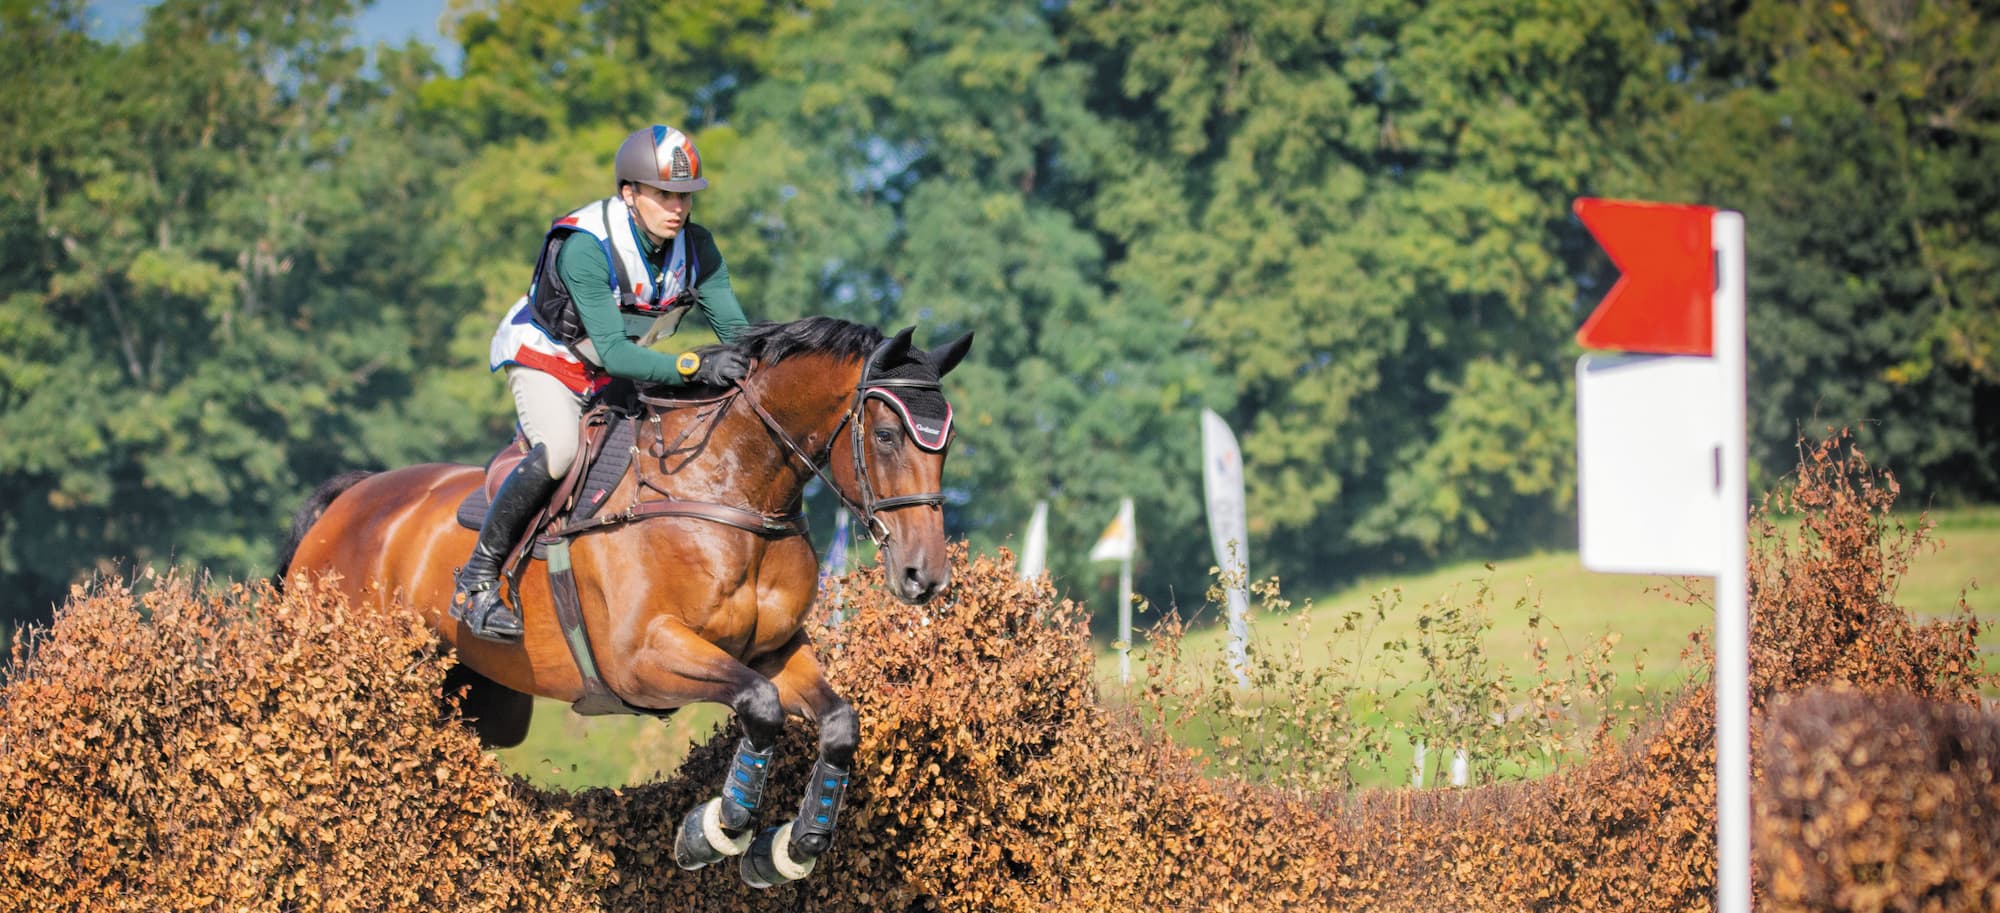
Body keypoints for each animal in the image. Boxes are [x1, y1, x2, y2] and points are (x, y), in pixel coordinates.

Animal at [276, 318, 976, 888]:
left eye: (946, 443)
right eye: (885, 435)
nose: (924, 576)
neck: (728, 489)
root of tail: (349, 497)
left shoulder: (775, 653)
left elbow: (837, 724)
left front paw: (790, 847)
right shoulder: (643, 659)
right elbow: (760, 707)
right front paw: (715, 830)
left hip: (478, 699)